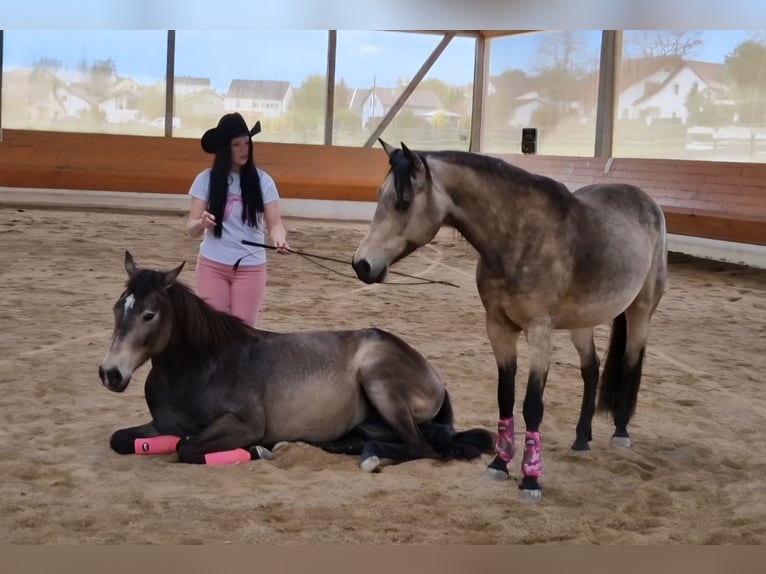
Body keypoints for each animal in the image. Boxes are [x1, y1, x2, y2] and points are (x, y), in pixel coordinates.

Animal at [98, 251, 494, 470]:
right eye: (118, 307)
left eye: (149, 314)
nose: (110, 374)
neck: (201, 367)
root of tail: (436, 377)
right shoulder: (163, 424)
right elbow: (121, 440)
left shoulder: (243, 425)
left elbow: (187, 447)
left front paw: (257, 451)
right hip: (372, 420)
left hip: (378, 378)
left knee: (420, 447)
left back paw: (370, 457)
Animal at [351, 140, 667, 502]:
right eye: (380, 195)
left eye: (402, 203)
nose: (361, 264)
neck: (518, 236)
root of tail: (646, 201)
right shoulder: (499, 329)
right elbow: (505, 397)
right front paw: (499, 464)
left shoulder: (539, 332)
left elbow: (532, 405)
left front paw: (530, 480)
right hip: (581, 323)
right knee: (591, 369)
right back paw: (581, 438)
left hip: (640, 311)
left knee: (630, 362)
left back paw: (621, 432)